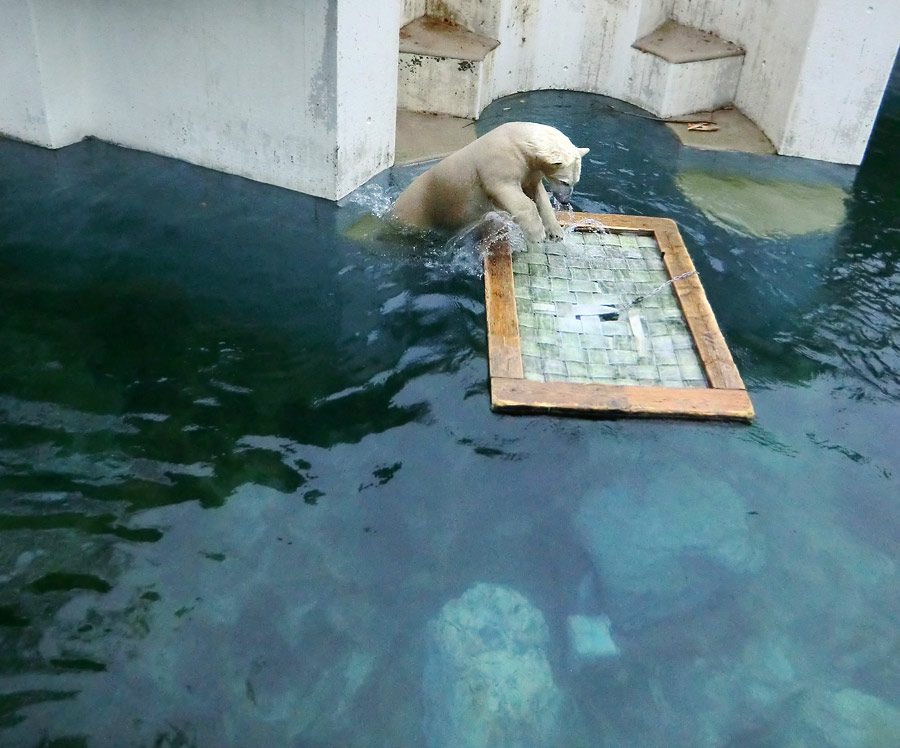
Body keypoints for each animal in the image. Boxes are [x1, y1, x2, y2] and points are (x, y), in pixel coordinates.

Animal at [388, 121, 588, 241]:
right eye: (565, 182)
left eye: (575, 182)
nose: (565, 200)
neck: (519, 139)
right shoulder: (500, 160)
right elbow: (507, 190)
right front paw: (536, 233)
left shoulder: (531, 170)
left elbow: (537, 193)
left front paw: (555, 231)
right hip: (420, 209)